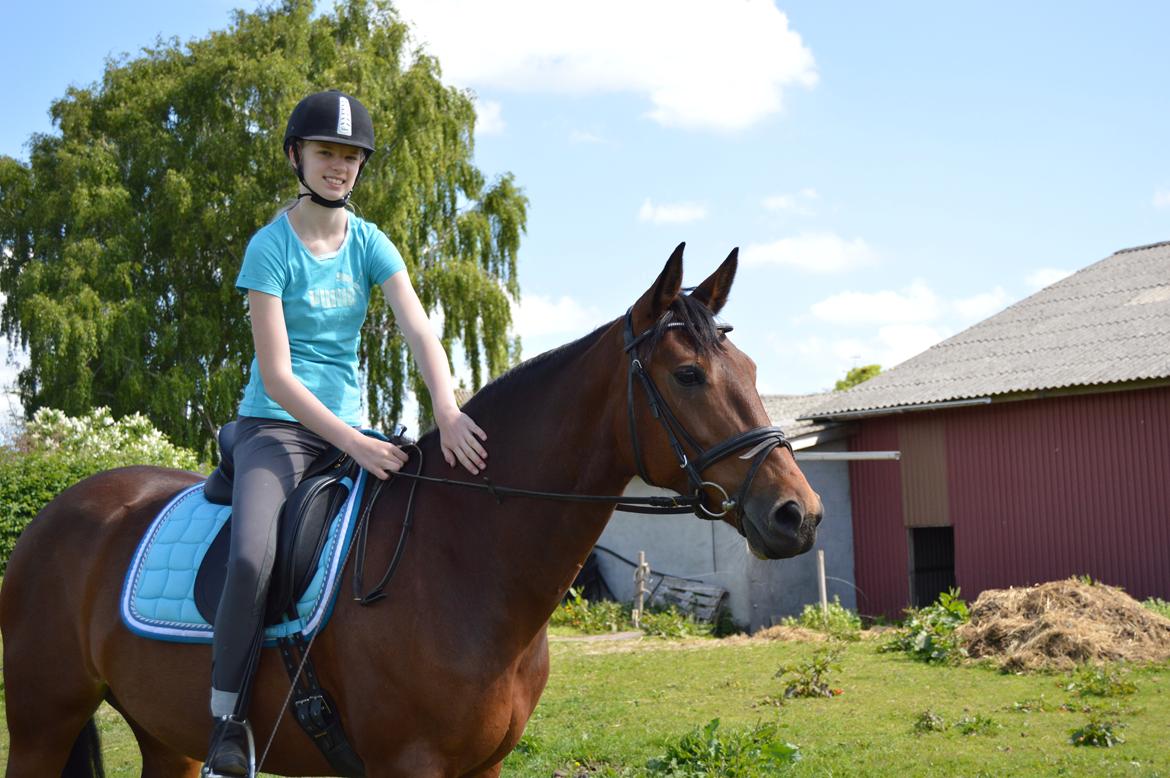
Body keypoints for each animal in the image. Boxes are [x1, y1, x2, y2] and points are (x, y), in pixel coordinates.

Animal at [2, 244, 823, 776]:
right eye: (687, 375)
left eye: (750, 369)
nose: (799, 513)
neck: (463, 557)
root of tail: (56, 513)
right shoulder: (411, 765)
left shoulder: (483, 768)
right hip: (43, 725)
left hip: (162, 735)